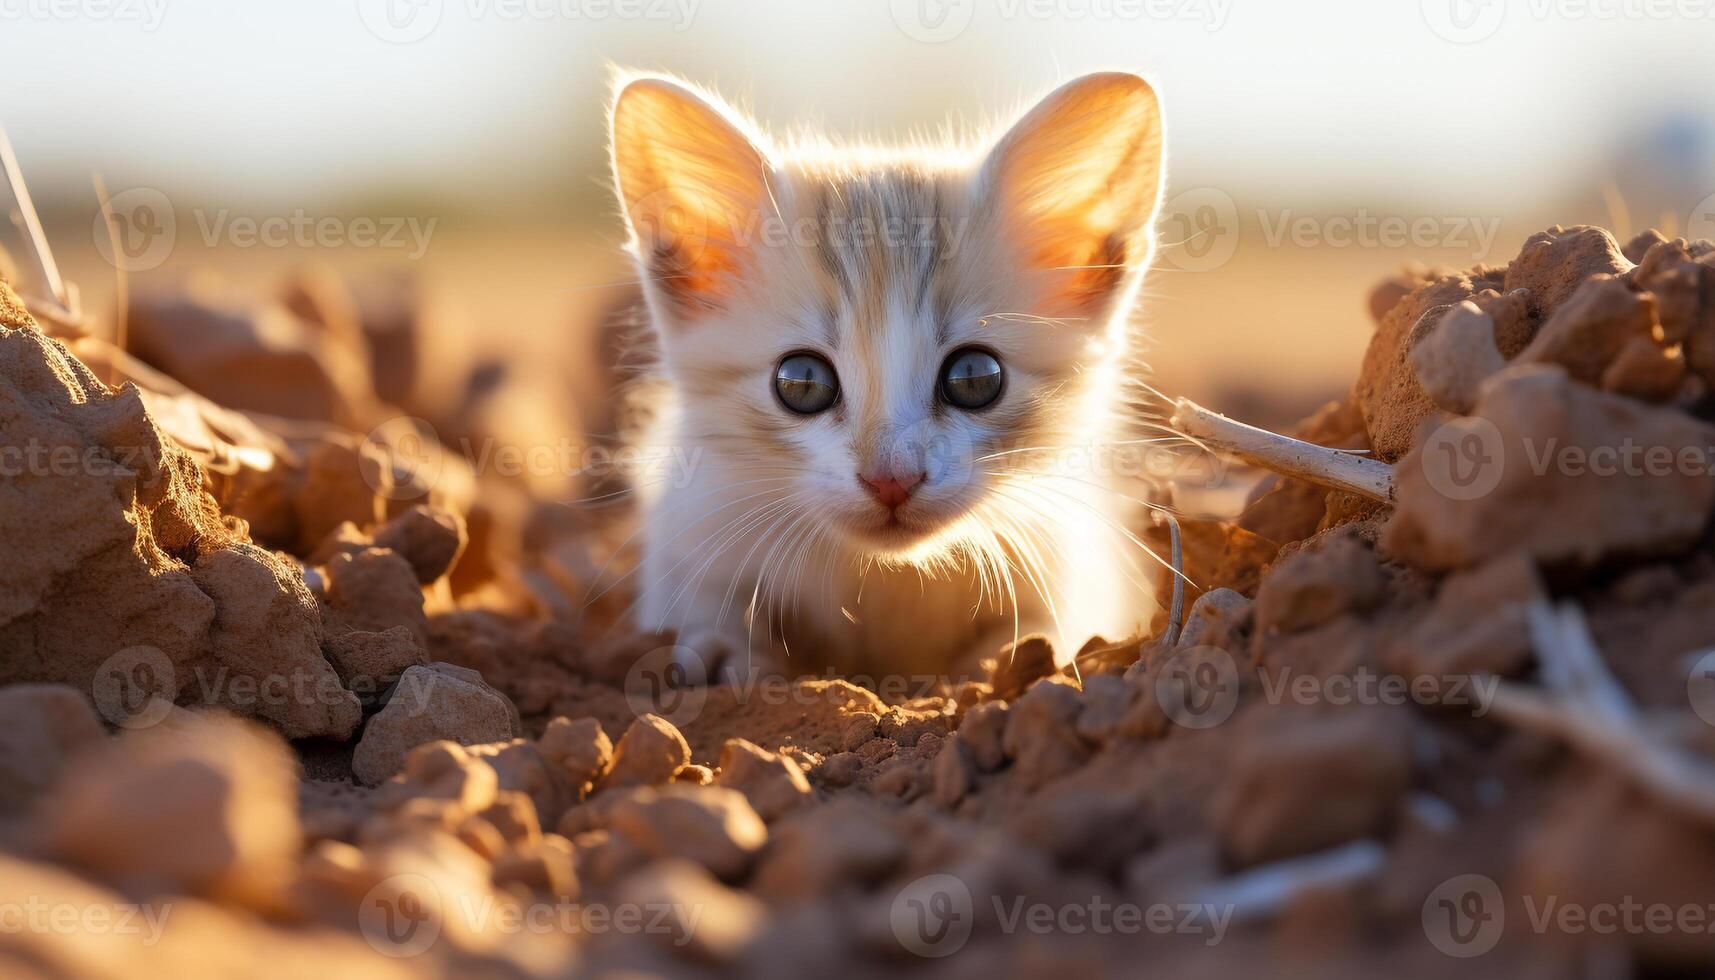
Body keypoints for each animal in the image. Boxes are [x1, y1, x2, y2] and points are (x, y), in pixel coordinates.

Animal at [603, 70, 1166, 683]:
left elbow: (1053, 622)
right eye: (801, 382)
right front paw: (725, 647)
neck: (885, 576)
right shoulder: (693, 518)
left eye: (975, 377)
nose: (890, 480)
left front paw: (1017, 656)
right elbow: (703, 600)